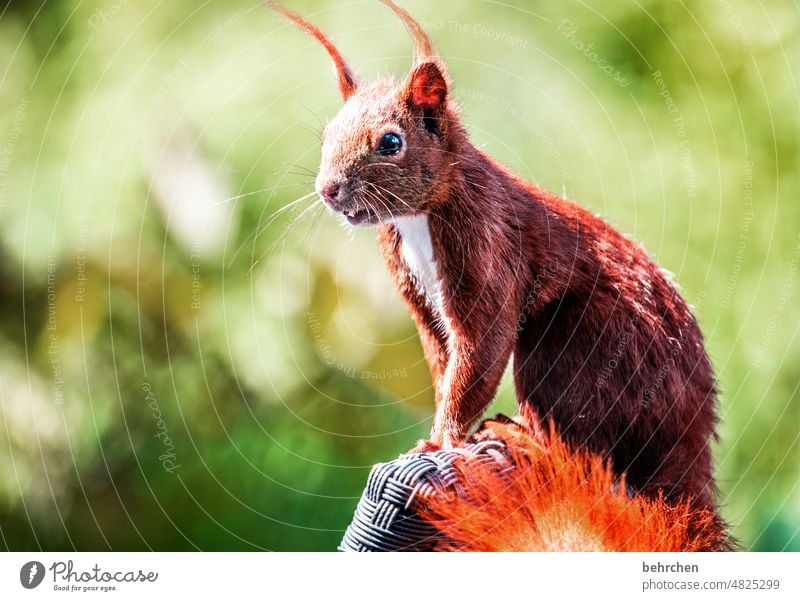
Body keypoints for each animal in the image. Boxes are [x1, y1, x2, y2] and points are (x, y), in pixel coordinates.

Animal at [268, 1, 720, 510]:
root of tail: (691, 447)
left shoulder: (488, 246)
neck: (418, 218)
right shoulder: (419, 297)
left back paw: (521, 435)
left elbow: (480, 351)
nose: (328, 190)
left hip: (577, 347)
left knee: (590, 455)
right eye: (326, 134)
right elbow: (444, 365)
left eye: (390, 142)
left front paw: (439, 442)